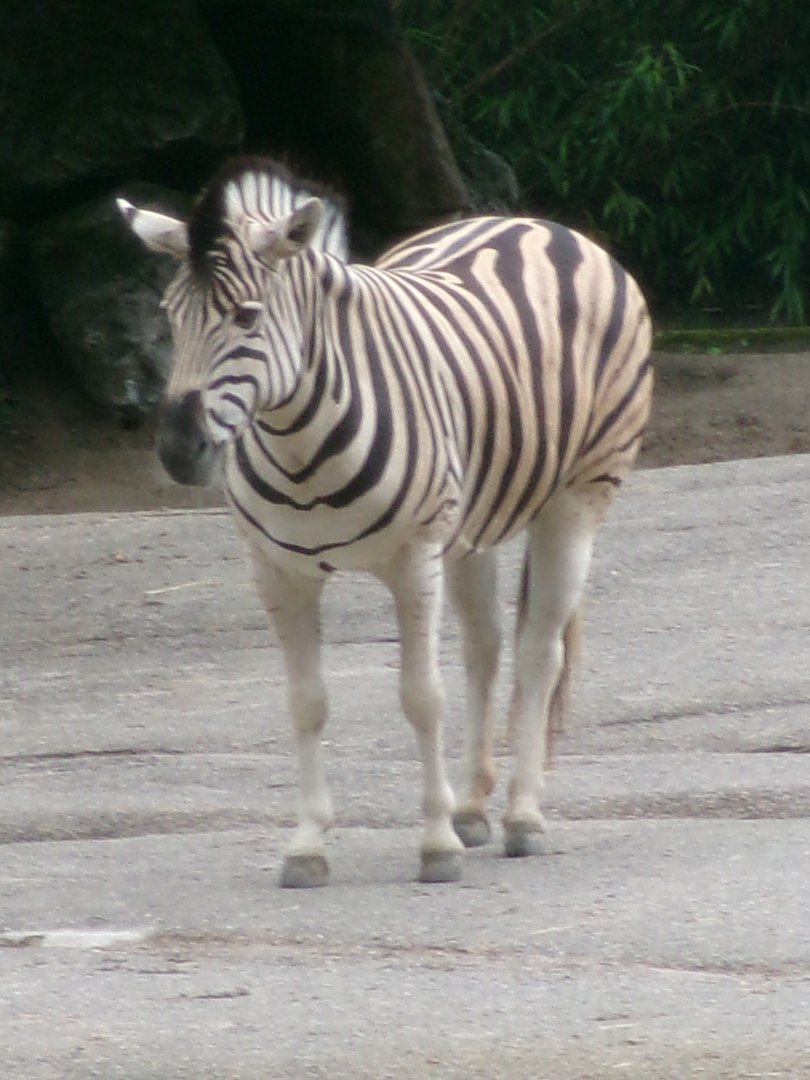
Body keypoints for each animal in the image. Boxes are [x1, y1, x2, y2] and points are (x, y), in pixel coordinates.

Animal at [118, 156, 653, 888]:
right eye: (170, 319)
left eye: (246, 317)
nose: (177, 452)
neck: (300, 446)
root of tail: (531, 222)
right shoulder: (277, 572)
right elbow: (305, 702)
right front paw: (309, 844)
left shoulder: (414, 558)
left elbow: (422, 697)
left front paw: (434, 846)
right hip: (473, 524)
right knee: (485, 646)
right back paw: (473, 807)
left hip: (576, 499)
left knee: (540, 652)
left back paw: (522, 817)